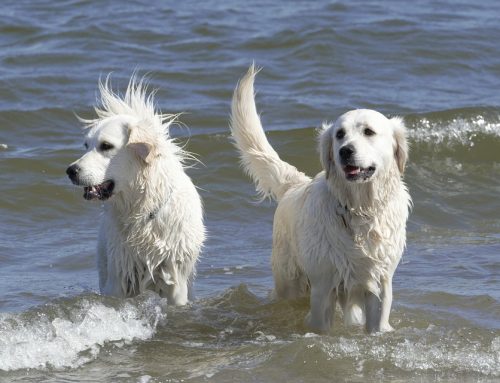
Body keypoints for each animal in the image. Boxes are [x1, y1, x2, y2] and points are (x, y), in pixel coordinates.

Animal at [66, 76, 205, 304]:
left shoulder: (176, 280)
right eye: (86, 145)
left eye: (106, 146)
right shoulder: (119, 276)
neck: (142, 210)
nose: (70, 171)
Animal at [230, 67, 410, 336]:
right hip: (290, 280)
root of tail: (296, 183)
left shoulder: (380, 282)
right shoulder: (324, 286)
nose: (345, 151)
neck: (359, 209)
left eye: (368, 131)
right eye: (339, 135)